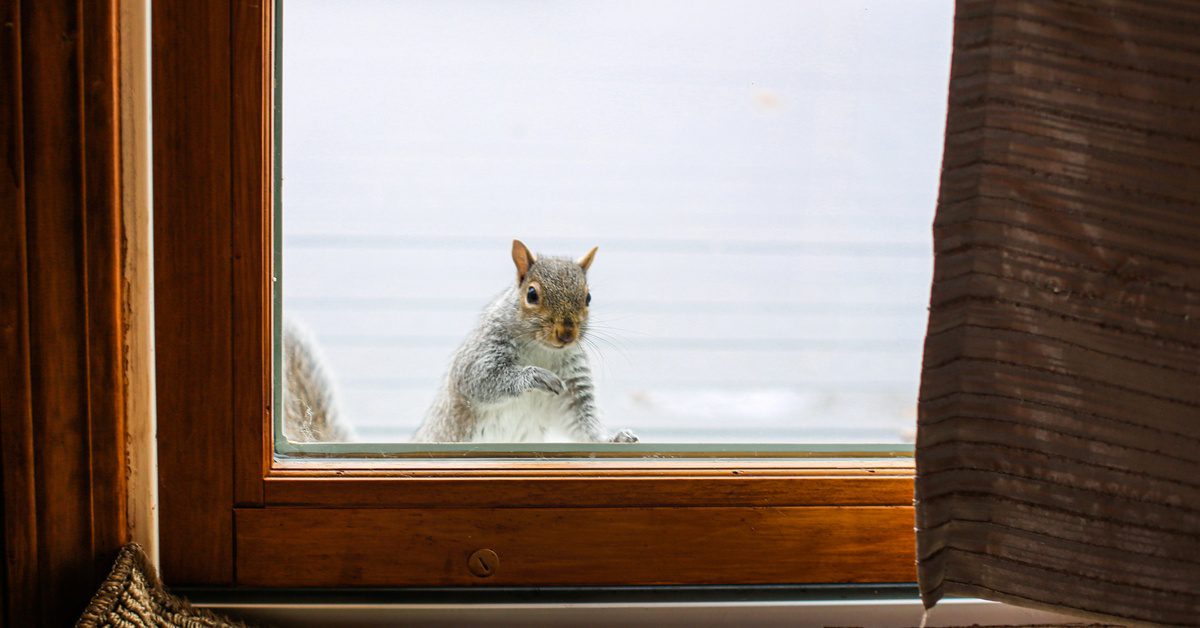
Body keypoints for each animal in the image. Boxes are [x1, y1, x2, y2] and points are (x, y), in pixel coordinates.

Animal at [413, 240, 638, 443]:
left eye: (588, 297)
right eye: (531, 294)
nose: (567, 334)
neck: (542, 350)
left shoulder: (573, 382)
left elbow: (580, 419)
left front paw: (613, 438)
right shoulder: (483, 351)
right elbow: (480, 378)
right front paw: (536, 376)